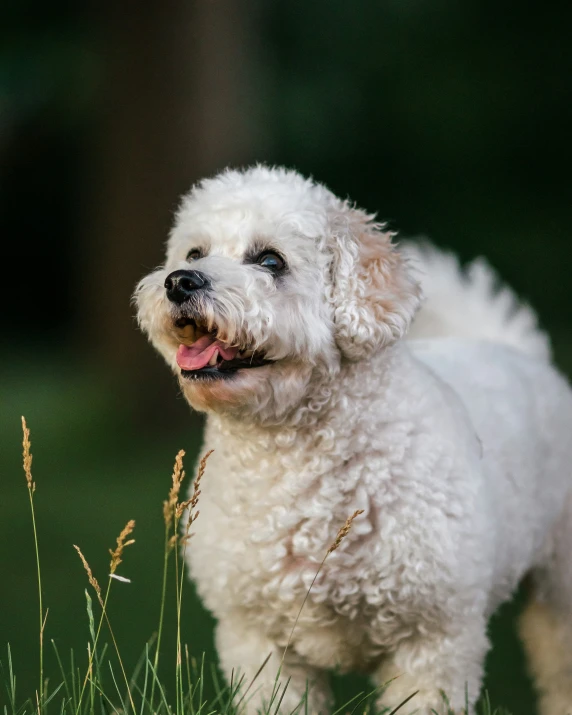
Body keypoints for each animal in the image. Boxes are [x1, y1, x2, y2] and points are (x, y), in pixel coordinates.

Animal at [136, 165, 572, 712]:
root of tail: (512, 348)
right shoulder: (259, 642)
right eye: (193, 254)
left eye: (270, 260)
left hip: (561, 595)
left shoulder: (433, 643)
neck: (297, 466)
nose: (179, 281)